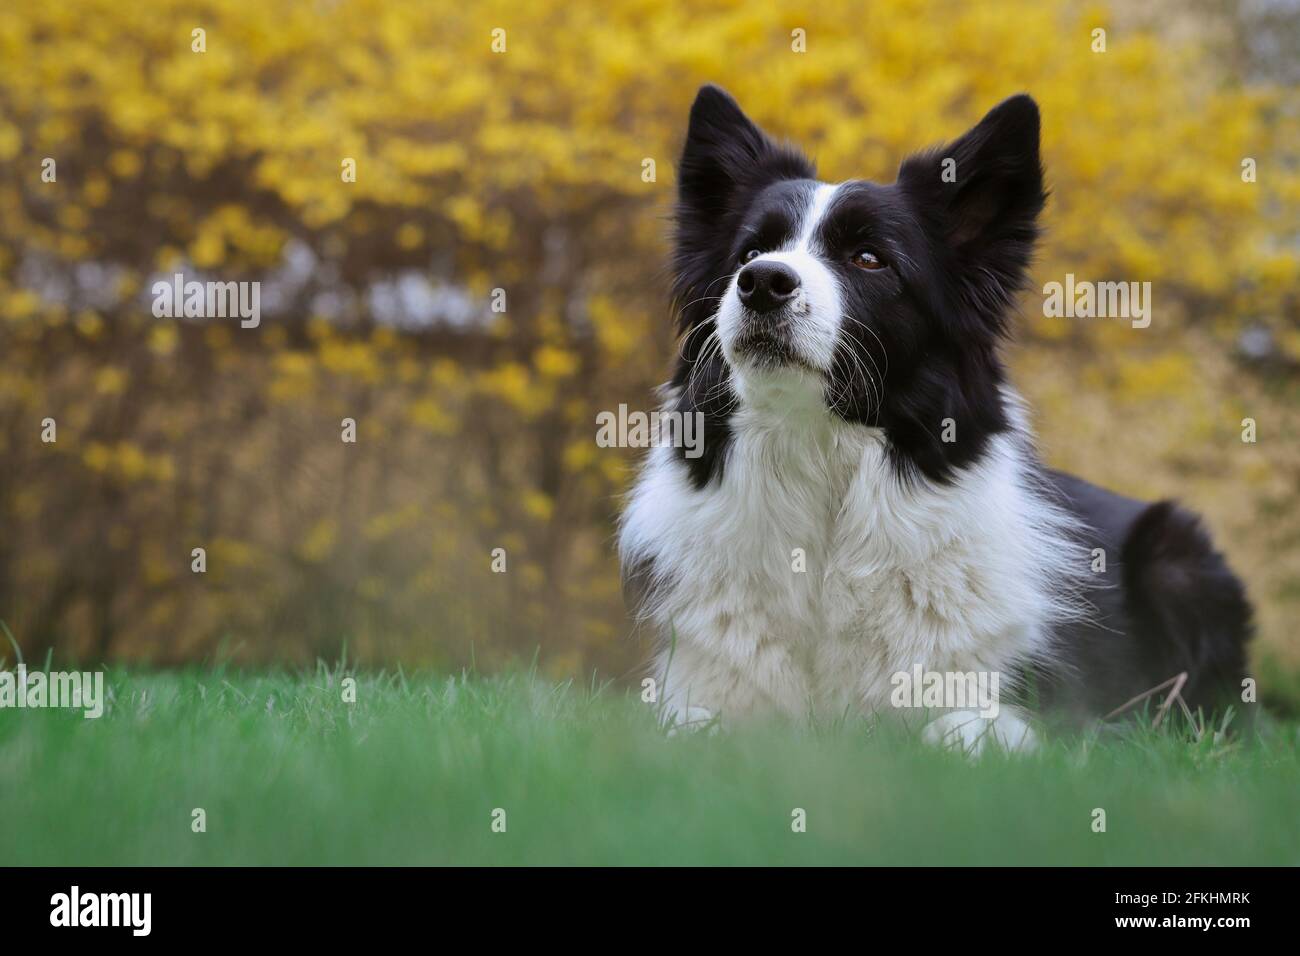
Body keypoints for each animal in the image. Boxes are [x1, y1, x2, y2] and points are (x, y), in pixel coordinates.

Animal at [618, 85, 1248, 749]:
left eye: (869, 258)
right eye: (751, 252)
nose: (761, 281)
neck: (825, 466)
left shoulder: (1038, 713)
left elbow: (951, 730)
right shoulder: (696, 690)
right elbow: (687, 727)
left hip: (1177, 555)